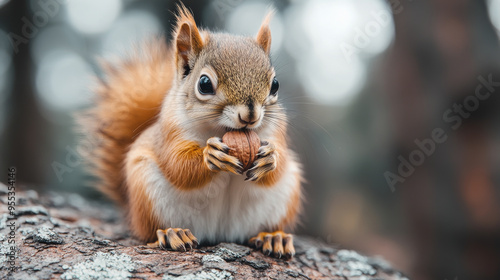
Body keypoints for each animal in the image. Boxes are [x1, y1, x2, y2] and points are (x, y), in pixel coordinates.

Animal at [80, 4, 302, 258]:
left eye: (275, 85)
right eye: (204, 84)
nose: (250, 116)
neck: (221, 130)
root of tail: (220, 234)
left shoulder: (276, 131)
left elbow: (279, 165)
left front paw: (270, 158)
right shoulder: (171, 132)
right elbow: (178, 165)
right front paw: (210, 156)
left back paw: (273, 237)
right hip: (146, 192)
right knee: (149, 232)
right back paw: (172, 233)